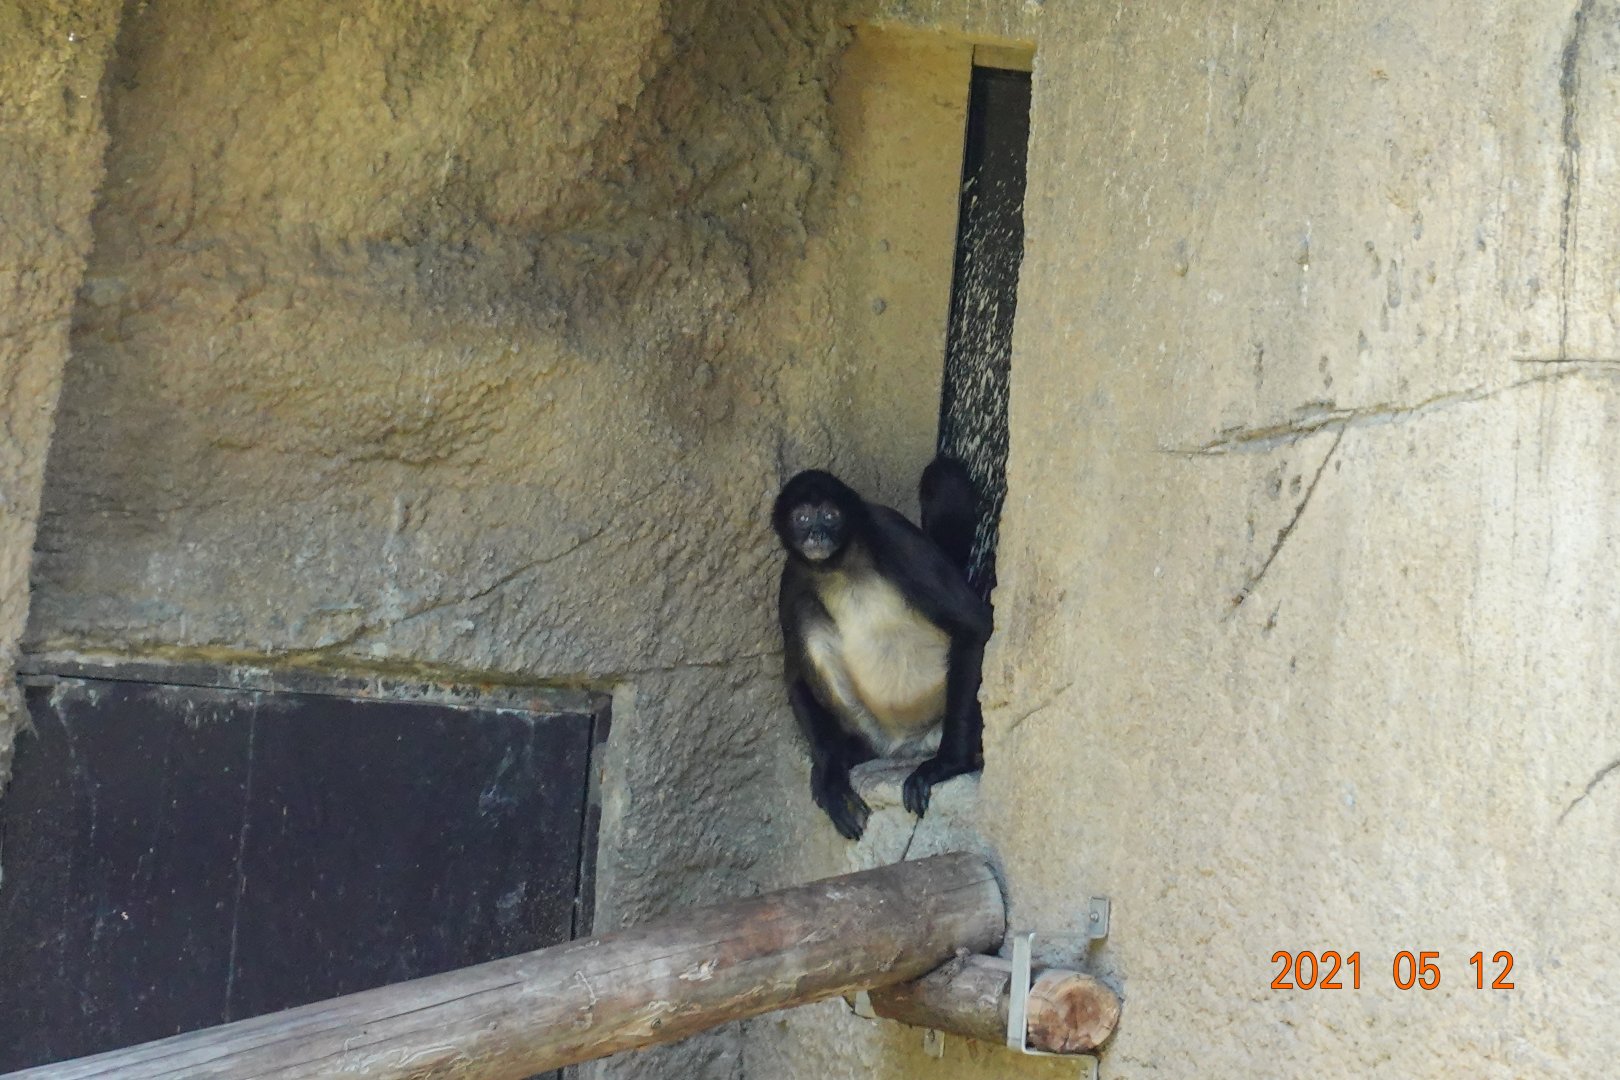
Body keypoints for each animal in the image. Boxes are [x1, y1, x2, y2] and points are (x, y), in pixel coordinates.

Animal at [773, 457, 992, 840]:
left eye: (830, 515)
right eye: (801, 518)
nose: (817, 535)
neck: (836, 566)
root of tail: (905, 745)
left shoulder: (891, 531)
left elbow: (973, 628)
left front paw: (948, 765)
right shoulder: (793, 574)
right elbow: (794, 678)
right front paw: (830, 775)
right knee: (807, 611)